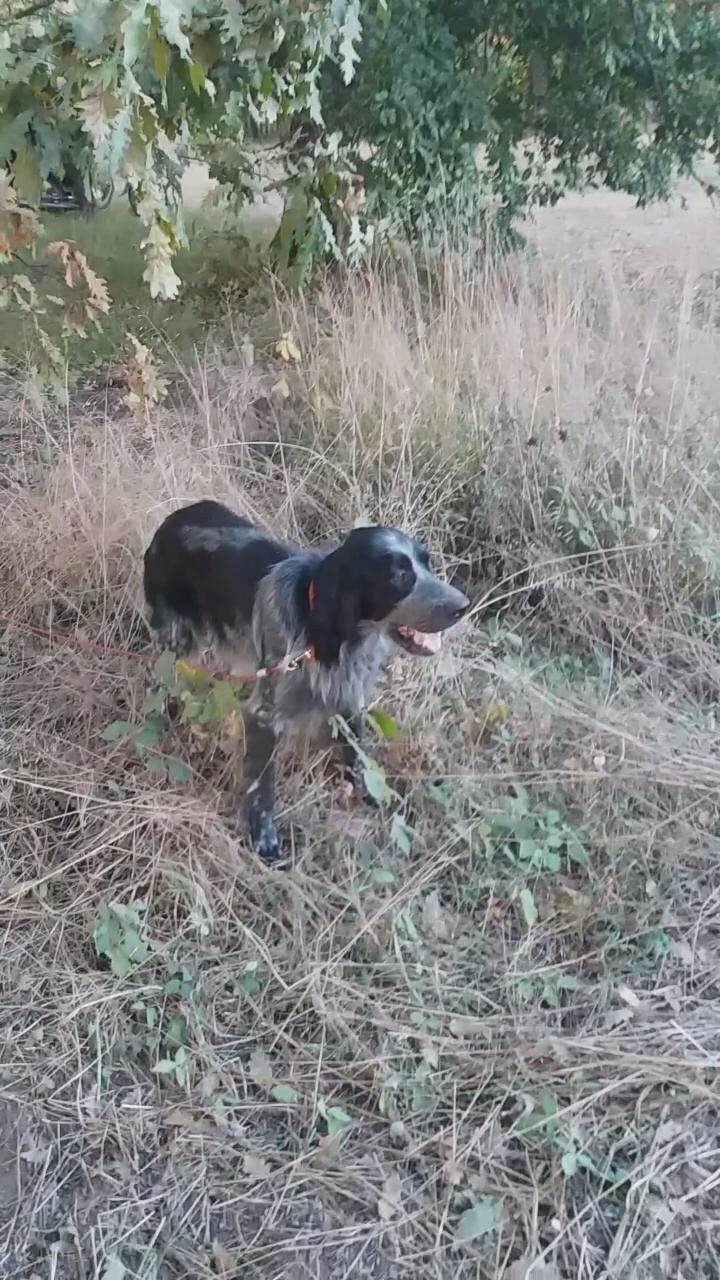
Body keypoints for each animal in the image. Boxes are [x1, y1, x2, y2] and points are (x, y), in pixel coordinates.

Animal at [142, 499, 468, 860]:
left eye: (427, 563)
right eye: (399, 576)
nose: (463, 607)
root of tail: (170, 522)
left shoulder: (349, 695)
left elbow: (357, 751)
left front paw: (368, 793)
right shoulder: (264, 716)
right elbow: (262, 786)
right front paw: (264, 839)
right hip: (174, 642)